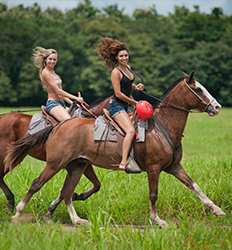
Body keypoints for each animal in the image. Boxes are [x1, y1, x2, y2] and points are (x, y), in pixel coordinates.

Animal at [4, 73, 225, 227]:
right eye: (199, 89)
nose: (217, 107)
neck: (163, 127)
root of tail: (60, 125)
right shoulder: (154, 169)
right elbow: (154, 194)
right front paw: (157, 220)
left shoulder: (174, 167)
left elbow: (194, 186)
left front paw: (217, 210)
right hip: (55, 164)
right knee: (37, 184)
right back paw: (17, 212)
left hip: (77, 166)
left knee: (67, 192)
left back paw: (76, 220)